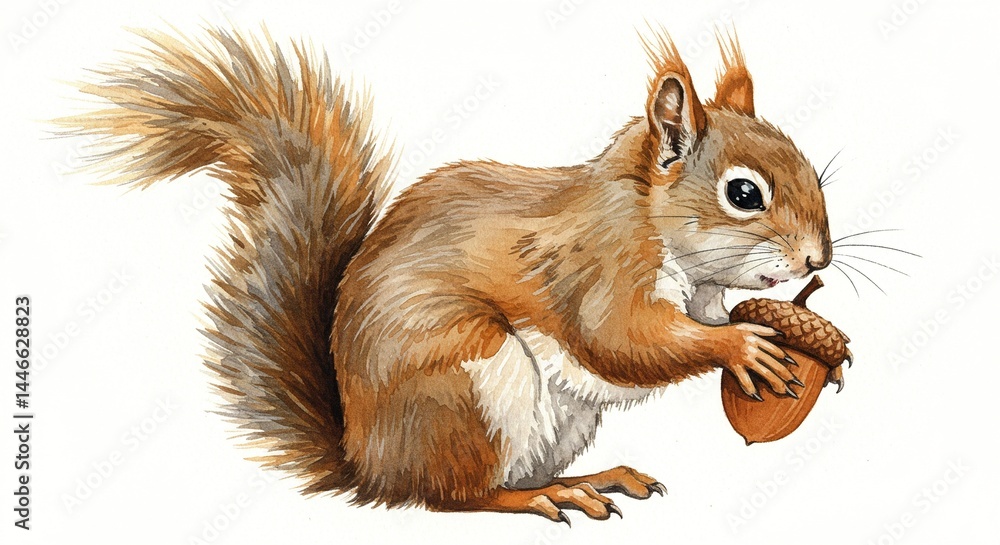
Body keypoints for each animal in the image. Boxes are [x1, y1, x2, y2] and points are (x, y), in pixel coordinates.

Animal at [61, 26, 833, 523]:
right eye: (743, 193)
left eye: (807, 165)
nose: (817, 260)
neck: (651, 221)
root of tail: (366, 460)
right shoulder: (596, 268)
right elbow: (624, 340)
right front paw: (742, 346)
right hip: (470, 384)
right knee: (455, 496)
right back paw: (541, 497)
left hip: (558, 418)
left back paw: (594, 476)